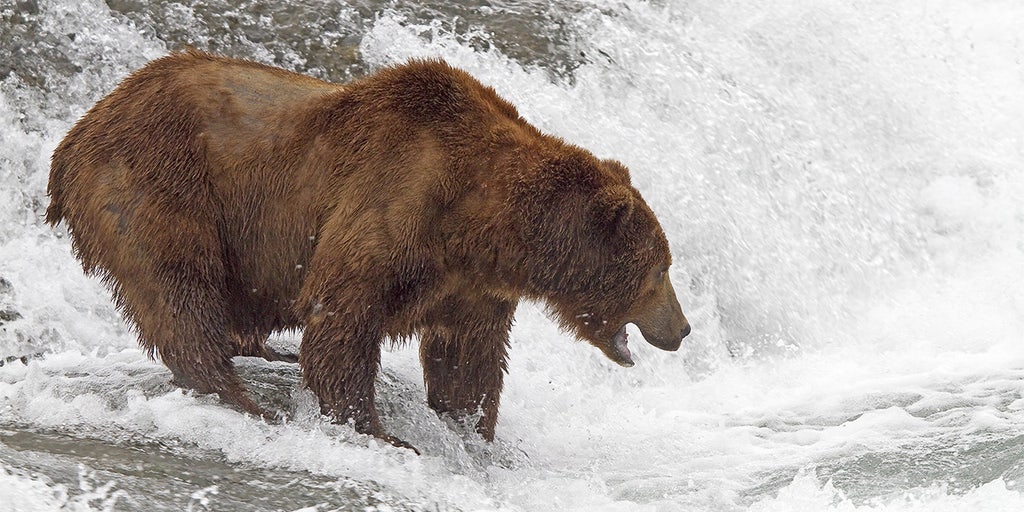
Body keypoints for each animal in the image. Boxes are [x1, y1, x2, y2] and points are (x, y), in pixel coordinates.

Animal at [46, 50, 690, 451]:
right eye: (660, 269)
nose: (682, 329)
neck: (481, 221)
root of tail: (76, 132)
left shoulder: (472, 283)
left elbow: (469, 355)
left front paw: (472, 429)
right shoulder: (394, 199)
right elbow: (343, 319)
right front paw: (386, 432)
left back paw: (264, 353)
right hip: (160, 184)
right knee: (179, 287)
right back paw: (242, 397)